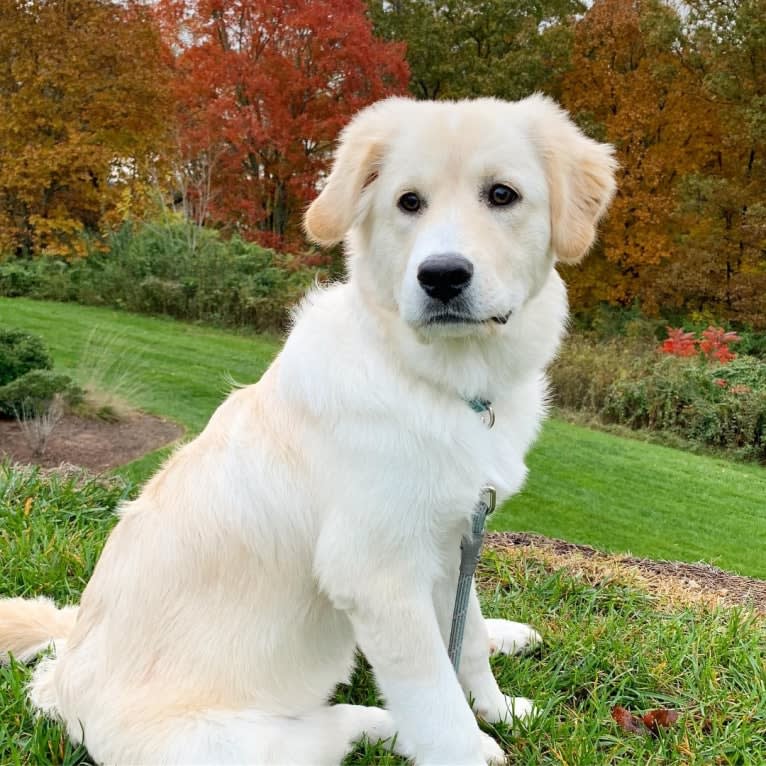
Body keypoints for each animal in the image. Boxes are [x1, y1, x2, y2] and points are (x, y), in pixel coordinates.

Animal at [0, 97, 616, 766]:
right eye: (408, 202)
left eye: (502, 195)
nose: (441, 276)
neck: (432, 379)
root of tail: (60, 687)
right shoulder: (376, 574)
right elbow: (435, 697)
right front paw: (472, 742)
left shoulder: (453, 537)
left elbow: (468, 638)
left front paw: (498, 708)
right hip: (248, 743)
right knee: (346, 721)